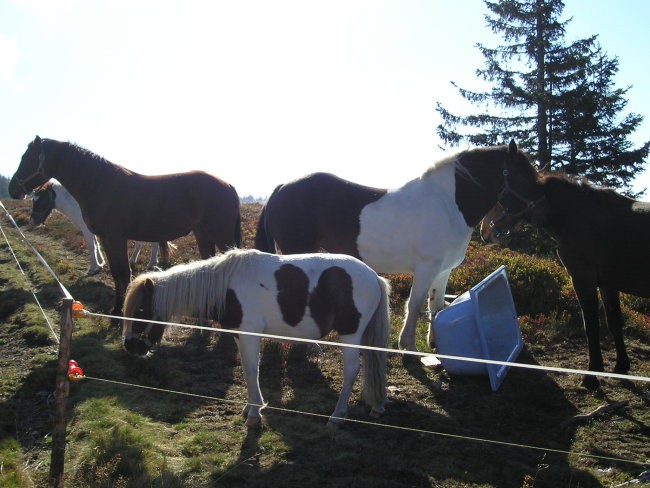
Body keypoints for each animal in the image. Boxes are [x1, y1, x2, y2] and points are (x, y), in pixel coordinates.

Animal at [10, 136, 240, 320]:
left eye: (27, 158)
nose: (13, 189)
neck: (101, 186)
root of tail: (228, 185)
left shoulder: (115, 238)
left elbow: (123, 274)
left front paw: (120, 313)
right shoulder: (106, 239)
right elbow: (116, 274)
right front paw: (116, 309)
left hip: (222, 236)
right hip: (203, 235)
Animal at [253, 141, 548, 350]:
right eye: (524, 177)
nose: (542, 213)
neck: (447, 203)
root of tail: (281, 187)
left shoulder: (443, 271)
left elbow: (436, 306)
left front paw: (435, 344)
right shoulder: (426, 268)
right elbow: (415, 304)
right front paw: (407, 347)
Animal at [480, 173, 648, 386]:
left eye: (496, 198)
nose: (483, 231)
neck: (573, 216)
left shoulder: (583, 279)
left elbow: (591, 325)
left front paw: (592, 375)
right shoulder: (608, 284)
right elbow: (614, 322)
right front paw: (620, 367)